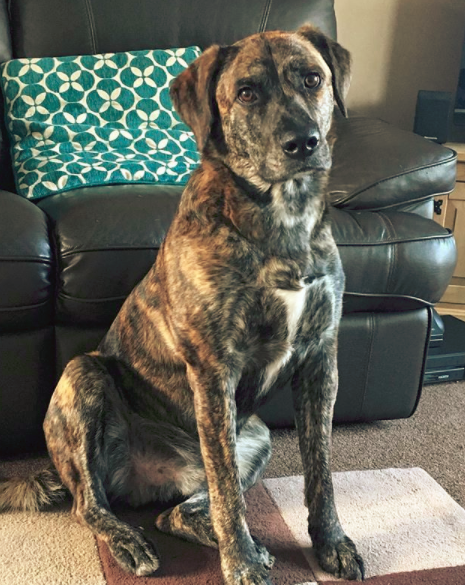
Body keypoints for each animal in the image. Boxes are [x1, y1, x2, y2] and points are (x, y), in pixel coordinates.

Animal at [0, 24, 364, 584]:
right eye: (246, 93)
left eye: (312, 79)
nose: (304, 142)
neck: (282, 218)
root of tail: (145, 480)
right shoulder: (214, 370)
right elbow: (229, 494)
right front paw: (240, 565)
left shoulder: (321, 358)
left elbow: (319, 467)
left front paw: (330, 543)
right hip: (83, 376)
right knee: (94, 504)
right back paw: (134, 542)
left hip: (256, 436)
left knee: (181, 510)